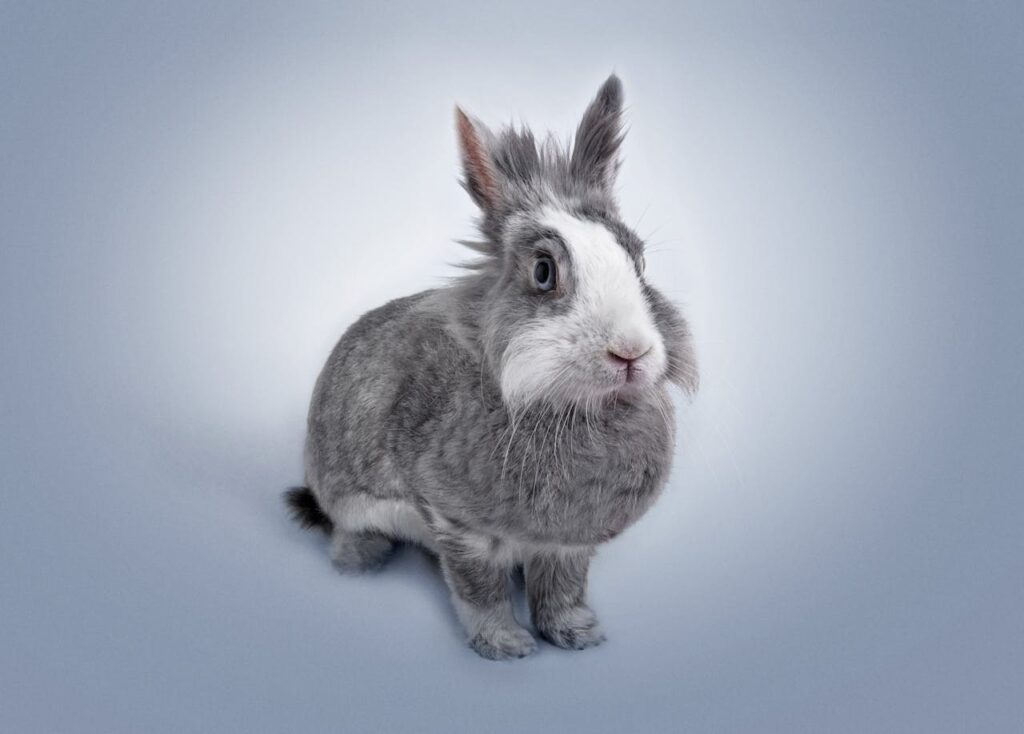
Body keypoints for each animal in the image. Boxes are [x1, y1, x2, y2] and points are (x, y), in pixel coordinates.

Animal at [285, 75, 697, 660]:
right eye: (544, 272)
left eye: (639, 262)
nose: (631, 353)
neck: (567, 407)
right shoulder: (459, 527)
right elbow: (478, 590)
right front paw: (506, 646)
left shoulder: (566, 545)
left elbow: (563, 589)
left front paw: (578, 635)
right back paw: (360, 564)